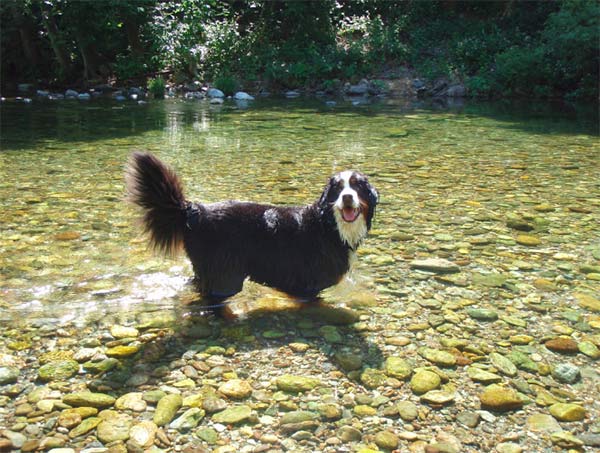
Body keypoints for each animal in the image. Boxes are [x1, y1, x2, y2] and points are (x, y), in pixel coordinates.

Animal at [125, 152, 380, 308]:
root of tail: (194, 210)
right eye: (338, 189)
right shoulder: (308, 286)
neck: (329, 227)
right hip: (225, 276)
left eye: (357, 186)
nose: (347, 197)